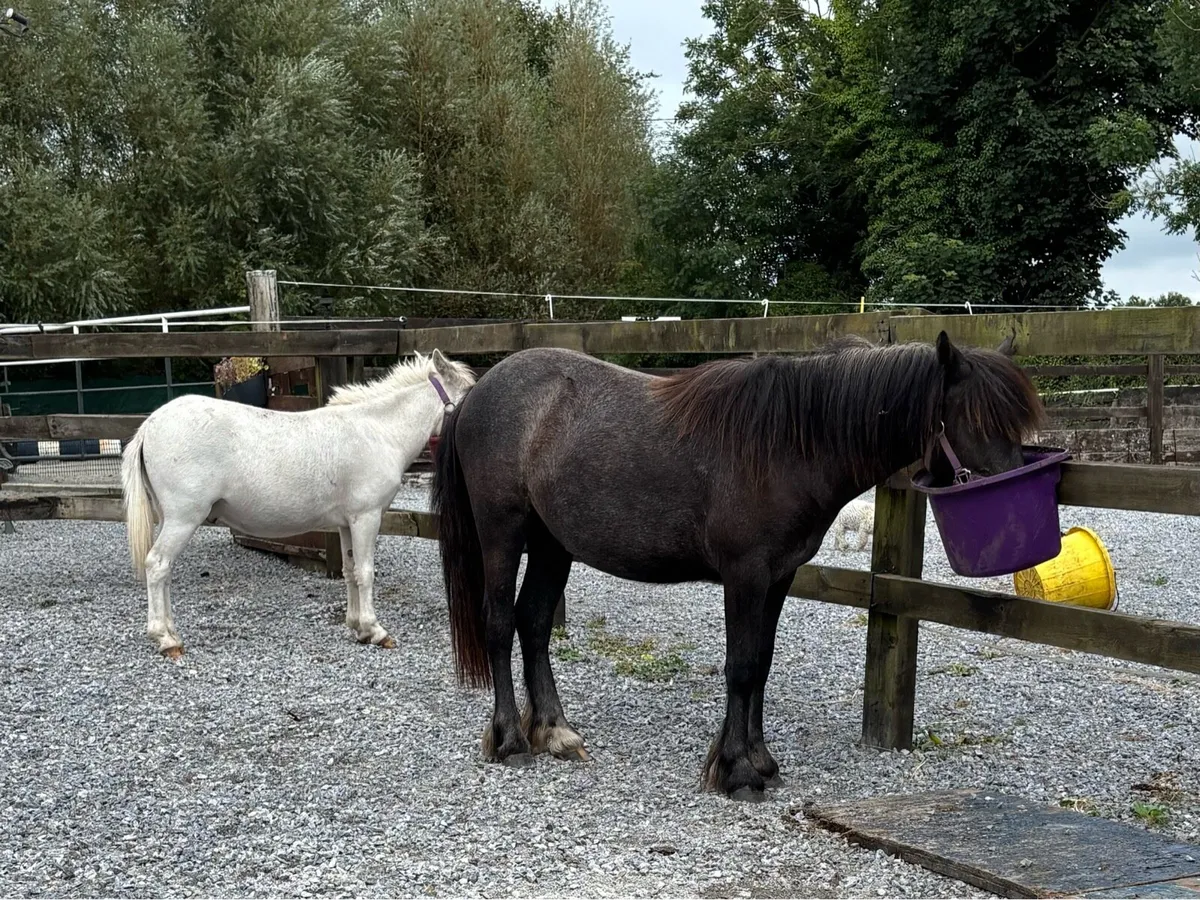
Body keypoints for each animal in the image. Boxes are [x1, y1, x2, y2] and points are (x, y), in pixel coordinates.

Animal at [121, 349, 476, 658]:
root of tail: (151, 424)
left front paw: (357, 628)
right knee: (158, 565)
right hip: (183, 518)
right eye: (469, 394)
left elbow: (350, 572)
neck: (377, 432)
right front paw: (376, 631)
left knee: (164, 570)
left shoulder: (347, 523)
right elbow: (366, 572)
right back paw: (165, 639)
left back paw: (170, 632)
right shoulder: (366, 517)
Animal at [431, 331, 1043, 800]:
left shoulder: (778, 576)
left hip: (552, 545)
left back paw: (556, 733)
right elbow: (742, 666)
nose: (1017, 508)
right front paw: (738, 772)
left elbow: (761, 664)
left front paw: (758, 760)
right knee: (499, 624)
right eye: (974, 419)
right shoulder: (745, 575)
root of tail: (477, 393)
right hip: (502, 535)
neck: (788, 445)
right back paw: (511, 741)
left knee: (534, 623)